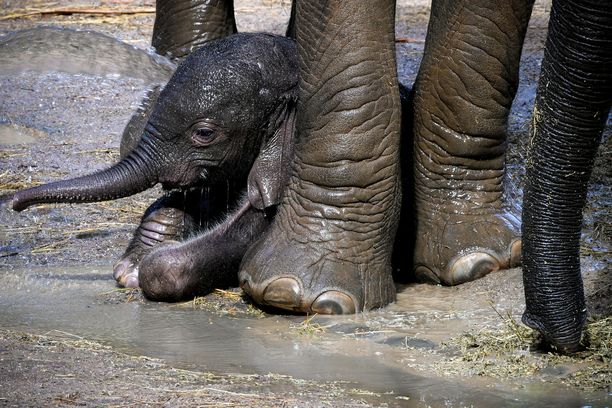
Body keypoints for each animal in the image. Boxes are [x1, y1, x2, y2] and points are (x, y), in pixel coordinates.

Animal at [4, 32, 298, 300]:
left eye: (204, 133)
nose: (15, 203)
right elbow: (194, 197)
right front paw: (135, 264)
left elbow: (245, 228)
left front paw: (147, 264)